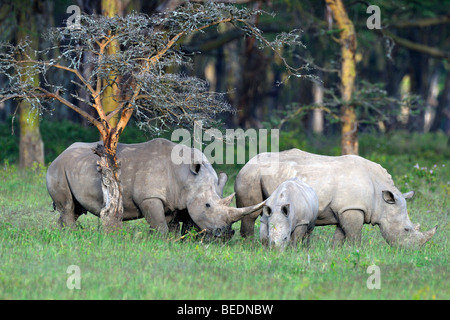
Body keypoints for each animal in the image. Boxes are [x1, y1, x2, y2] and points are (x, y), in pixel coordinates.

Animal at [46, 138, 264, 238]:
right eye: (208, 205)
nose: (225, 234)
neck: (187, 177)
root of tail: (59, 154)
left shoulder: (173, 200)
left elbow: (168, 223)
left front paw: (170, 240)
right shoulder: (149, 197)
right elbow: (159, 223)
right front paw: (163, 241)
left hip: (73, 167)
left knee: (74, 209)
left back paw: (63, 234)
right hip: (57, 169)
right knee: (67, 207)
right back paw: (72, 235)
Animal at [234, 149, 438, 248]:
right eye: (406, 230)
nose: (413, 251)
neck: (381, 198)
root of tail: (248, 162)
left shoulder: (345, 209)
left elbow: (340, 235)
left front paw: (337, 252)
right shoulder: (353, 208)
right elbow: (354, 235)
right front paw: (356, 251)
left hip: (255, 173)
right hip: (251, 174)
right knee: (250, 214)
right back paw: (248, 245)